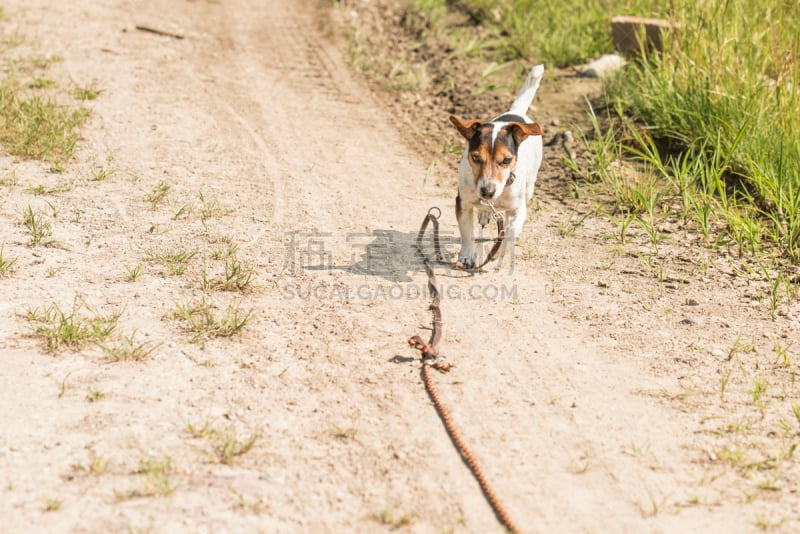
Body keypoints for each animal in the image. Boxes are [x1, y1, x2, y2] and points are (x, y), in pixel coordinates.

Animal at [450, 64, 544, 270]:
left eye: (506, 160)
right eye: (476, 157)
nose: (487, 191)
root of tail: (517, 112)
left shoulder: (519, 209)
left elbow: (510, 232)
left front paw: (501, 250)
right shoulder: (463, 203)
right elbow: (466, 232)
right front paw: (466, 255)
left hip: (530, 186)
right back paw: (485, 214)